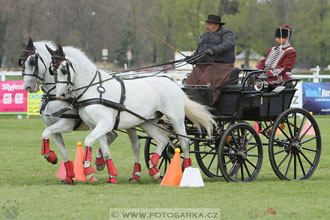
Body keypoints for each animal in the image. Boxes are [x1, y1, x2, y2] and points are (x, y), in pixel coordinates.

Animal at [19, 38, 120, 185]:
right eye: (21, 62)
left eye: (32, 62)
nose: (27, 87)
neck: (54, 95)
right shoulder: (53, 128)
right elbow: (63, 152)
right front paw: (68, 175)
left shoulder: (66, 125)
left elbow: (45, 133)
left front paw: (50, 156)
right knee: (111, 135)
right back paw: (100, 161)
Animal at [47, 44, 217, 184]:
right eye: (53, 71)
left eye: (63, 70)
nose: (61, 95)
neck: (94, 89)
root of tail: (171, 81)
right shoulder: (95, 126)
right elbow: (104, 149)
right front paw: (109, 175)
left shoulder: (105, 124)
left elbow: (88, 140)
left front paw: (88, 170)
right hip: (147, 122)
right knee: (162, 140)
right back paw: (153, 168)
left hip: (176, 120)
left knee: (184, 143)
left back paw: (186, 170)